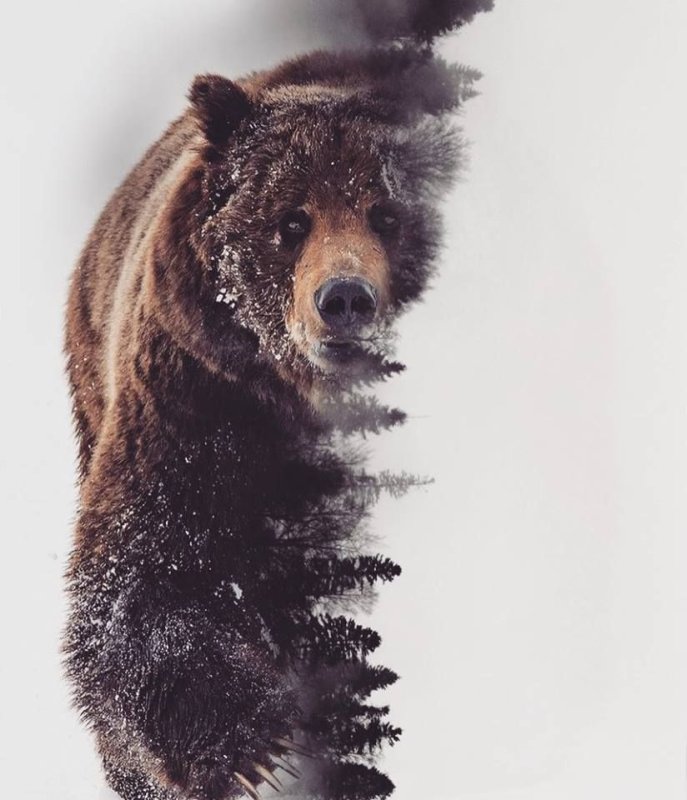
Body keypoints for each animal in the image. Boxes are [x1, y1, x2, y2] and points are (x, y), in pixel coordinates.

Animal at [63, 38, 482, 800]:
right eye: (291, 220)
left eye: (387, 215)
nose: (344, 299)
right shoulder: (199, 396)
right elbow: (142, 571)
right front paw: (251, 747)